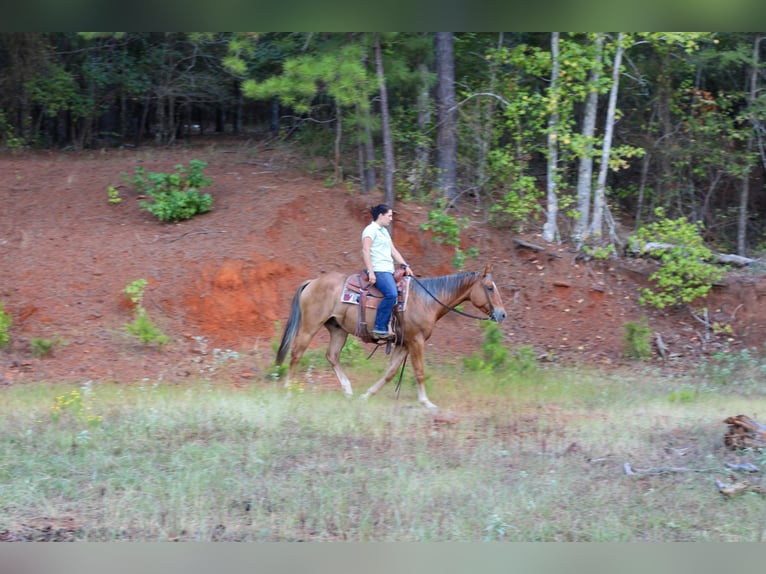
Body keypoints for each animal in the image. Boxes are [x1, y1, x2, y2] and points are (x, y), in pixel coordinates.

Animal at [278, 266, 510, 410]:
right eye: (490, 288)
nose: (502, 314)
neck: (426, 300)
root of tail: (313, 282)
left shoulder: (403, 344)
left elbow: (390, 372)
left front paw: (368, 394)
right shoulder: (416, 341)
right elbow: (419, 372)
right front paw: (426, 402)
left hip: (338, 330)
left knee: (332, 356)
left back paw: (348, 390)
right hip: (310, 326)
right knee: (297, 353)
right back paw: (288, 390)